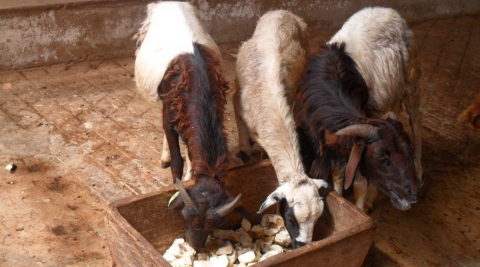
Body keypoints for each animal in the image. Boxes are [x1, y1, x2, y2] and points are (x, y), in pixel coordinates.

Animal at [294, 42, 422, 214]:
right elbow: (338, 175)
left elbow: (359, 185)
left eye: (408, 146)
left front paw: (359, 209)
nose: (415, 192)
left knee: (417, 120)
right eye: (381, 155)